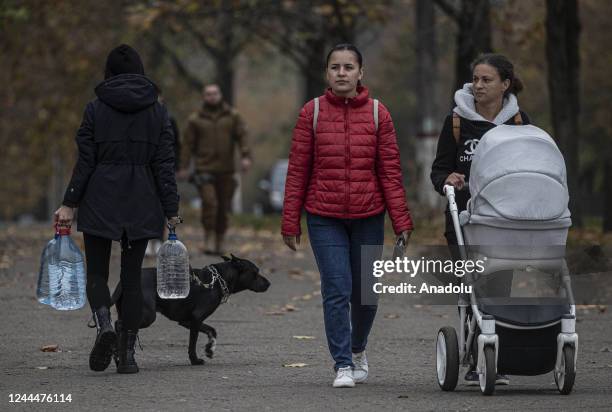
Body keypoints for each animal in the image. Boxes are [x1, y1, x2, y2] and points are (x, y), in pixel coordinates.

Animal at [112, 254, 270, 364]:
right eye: (255, 272)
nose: (269, 283)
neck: (218, 280)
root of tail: (122, 283)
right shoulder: (196, 318)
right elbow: (192, 344)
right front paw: (195, 360)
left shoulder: (188, 321)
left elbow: (212, 330)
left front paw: (210, 348)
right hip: (147, 316)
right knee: (120, 325)